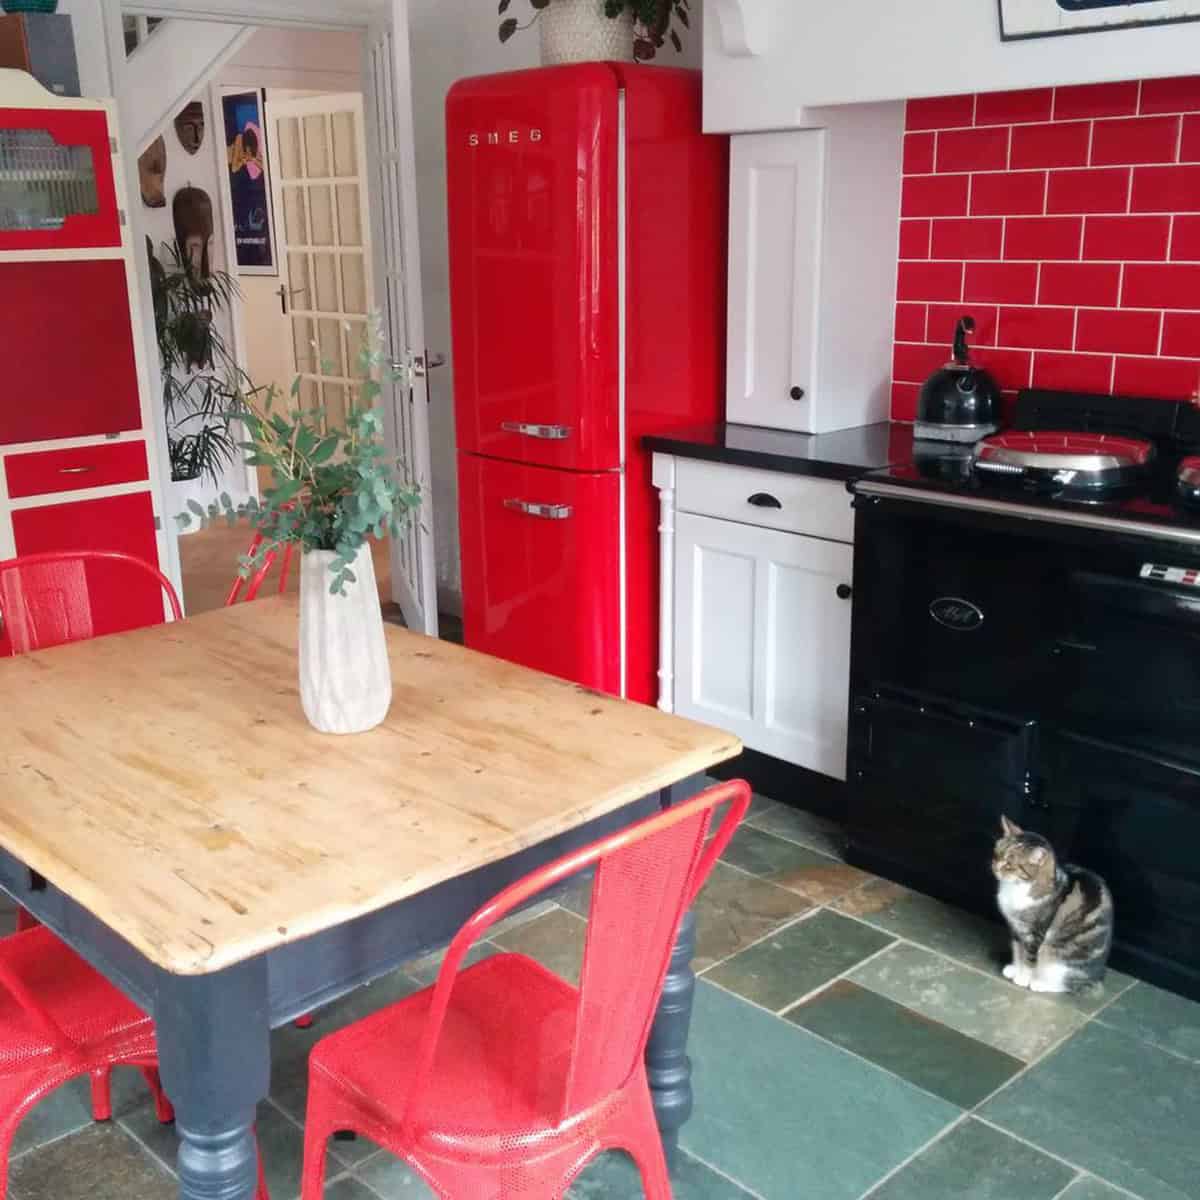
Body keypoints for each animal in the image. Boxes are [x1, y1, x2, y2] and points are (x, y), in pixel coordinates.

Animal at [988, 816, 1108, 993]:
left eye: (1009, 864)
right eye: (996, 854)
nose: (994, 867)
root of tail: (1096, 978)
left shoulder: (1035, 933)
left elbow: (1029, 959)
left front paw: (1023, 978)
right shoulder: (1016, 929)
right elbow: (1018, 952)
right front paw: (1015, 970)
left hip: (1059, 956)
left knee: (1064, 984)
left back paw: (1040, 983)